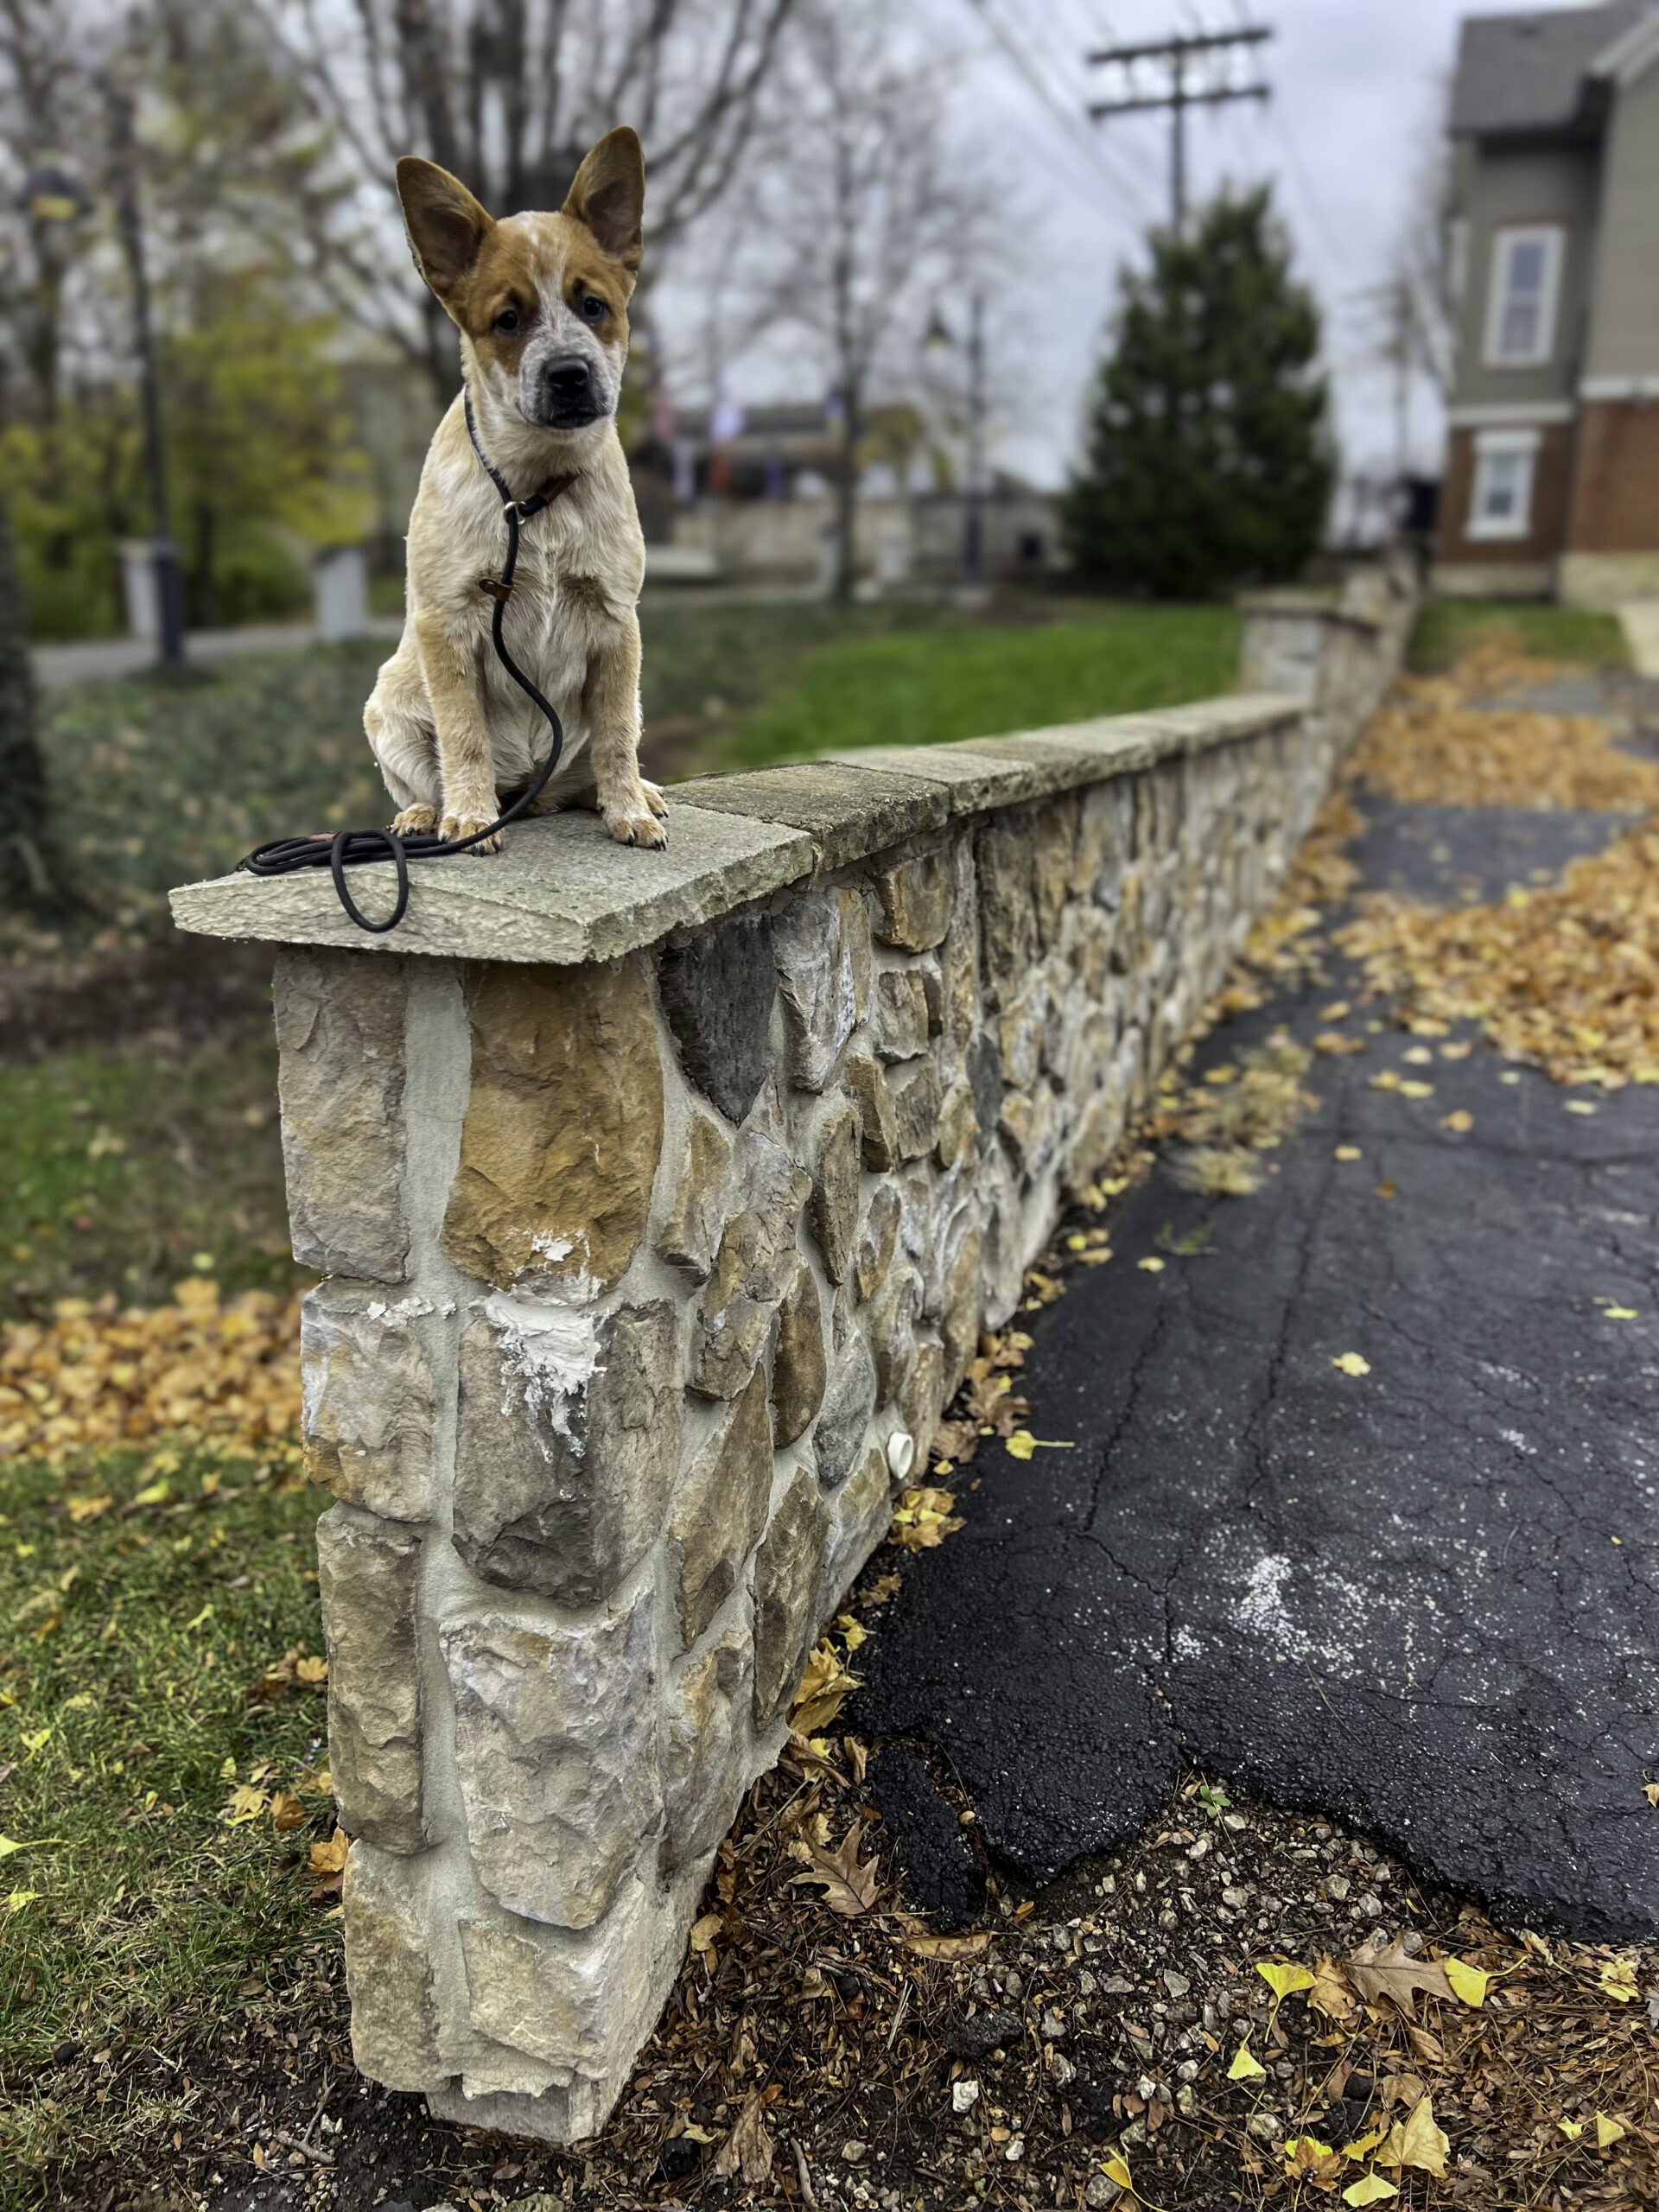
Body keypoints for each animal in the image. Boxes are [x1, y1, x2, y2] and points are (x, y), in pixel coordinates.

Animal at [366, 125, 672, 854]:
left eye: (593, 306)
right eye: (508, 319)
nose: (569, 373)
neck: (537, 490)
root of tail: (533, 792)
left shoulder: (616, 621)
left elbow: (615, 739)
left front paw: (628, 810)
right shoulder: (448, 624)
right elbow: (463, 735)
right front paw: (470, 818)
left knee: (601, 757)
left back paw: (627, 793)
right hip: (388, 702)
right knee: (423, 775)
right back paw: (424, 815)